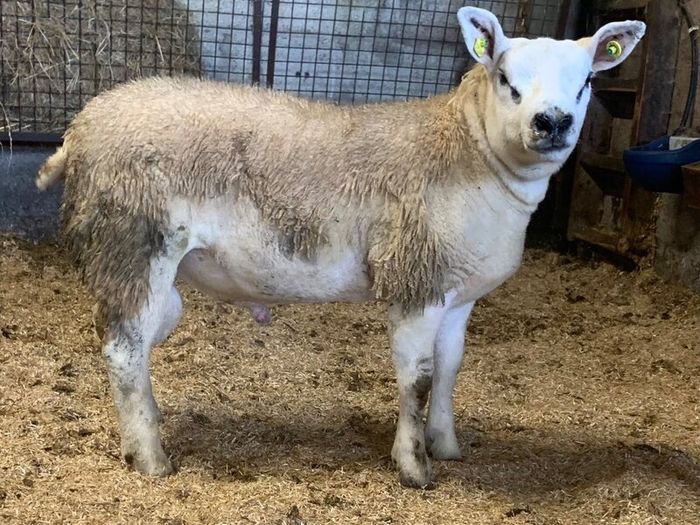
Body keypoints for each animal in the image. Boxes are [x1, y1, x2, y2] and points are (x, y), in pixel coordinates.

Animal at [36, 6, 645, 488]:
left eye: (586, 84)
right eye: (505, 79)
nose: (552, 122)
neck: (468, 151)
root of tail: (80, 128)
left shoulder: (458, 294)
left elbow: (450, 369)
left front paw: (446, 445)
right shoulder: (415, 280)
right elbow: (418, 379)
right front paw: (414, 466)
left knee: (132, 345)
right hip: (132, 244)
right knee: (124, 350)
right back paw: (151, 458)